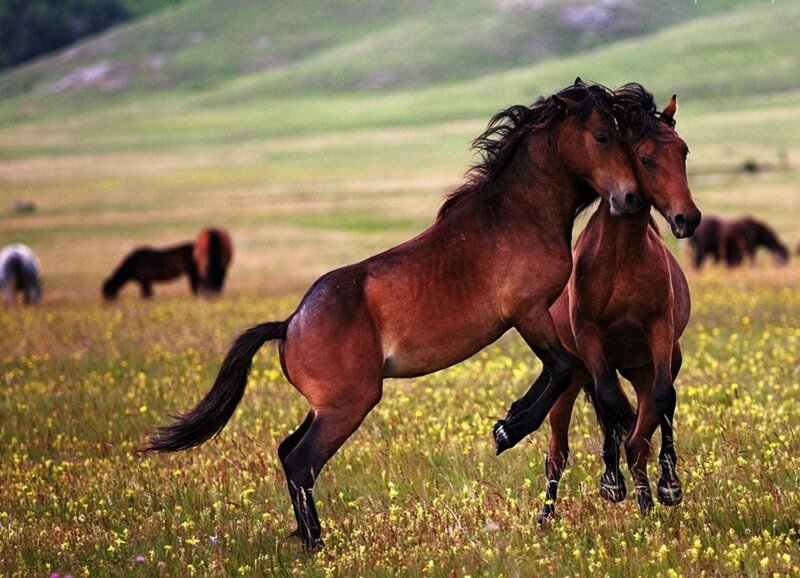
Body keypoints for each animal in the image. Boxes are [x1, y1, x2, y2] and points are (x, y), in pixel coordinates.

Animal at [144, 80, 653, 550]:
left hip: (327, 406)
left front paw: (508, 420)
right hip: (349, 405)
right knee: (301, 461)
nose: (629, 198)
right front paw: (508, 431)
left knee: (288, 452)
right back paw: (316, 546)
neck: (518, 214)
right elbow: (561, 369)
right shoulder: (527, 312)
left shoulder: (537, 317)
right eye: (602, 136)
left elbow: (560, 370)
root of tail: (290, 325)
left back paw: (310, 539)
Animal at [493, 88, 699, 520]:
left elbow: (661, 401)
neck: (622, 258)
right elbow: (608, 403)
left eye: (683, 152)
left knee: (639, 439)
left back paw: (645, 503)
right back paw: (546, 516)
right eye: (644, 157)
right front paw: (610, 480)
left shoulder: (660, 332)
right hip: (573, 380)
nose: (687, 219)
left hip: (644, 367)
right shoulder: (590, 337)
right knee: (559, 451)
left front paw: (669, 486)